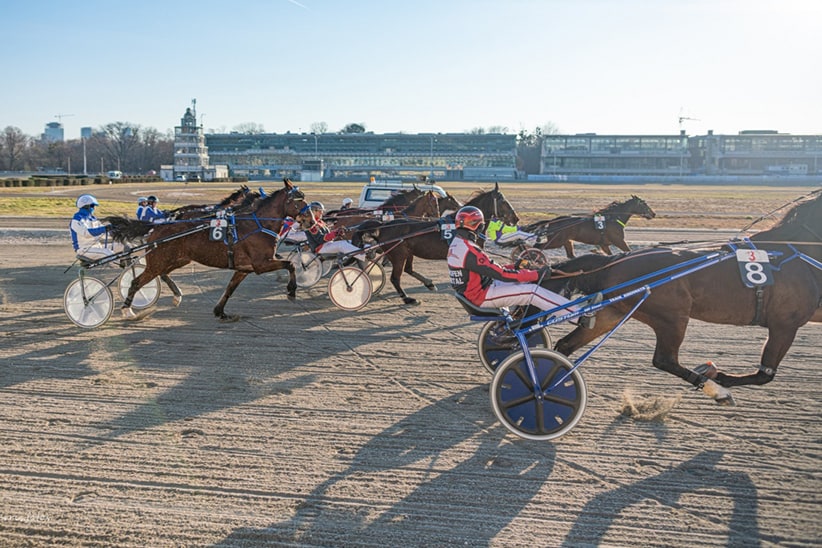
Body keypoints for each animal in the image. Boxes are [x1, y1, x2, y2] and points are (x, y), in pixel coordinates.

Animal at [115, 178, 308, 318]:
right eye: (298, 200)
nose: (310, 219)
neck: (258, 225)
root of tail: (157, 227)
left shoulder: (245, 268)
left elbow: (230, 288)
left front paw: (220, 311)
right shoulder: (261, 264)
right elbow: (290, 264)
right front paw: (291, 291)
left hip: (178, 259)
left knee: (162, 274)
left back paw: (176, 296)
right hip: (158, 262)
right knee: (136, 282)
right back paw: (127, 310)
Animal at [350, 183, 520, 304]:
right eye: (503, 201)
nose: (516, 218)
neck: (464, 225)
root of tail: (383, 225)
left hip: (407, 253)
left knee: (408, 269)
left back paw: (428, 283)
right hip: (398, 255)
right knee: (395, 278)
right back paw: (407, 298)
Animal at [524, 196, 660, 258]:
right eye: (644, 204)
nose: (653, 213)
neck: (613, 218)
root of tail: (553, 220)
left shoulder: (604, 244)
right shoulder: (618, 240)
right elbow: (628, 250)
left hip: (567, 241)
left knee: (571, 255)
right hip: (556, 241)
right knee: (538, 246)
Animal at [548, 191, 822, 404]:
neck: (796, 252)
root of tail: (615, 261)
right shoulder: (785, 323)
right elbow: (765, 374)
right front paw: (719, 378)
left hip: (615, 312)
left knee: (566, 344)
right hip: (672, 317)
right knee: (665, 360)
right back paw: (716, 390)